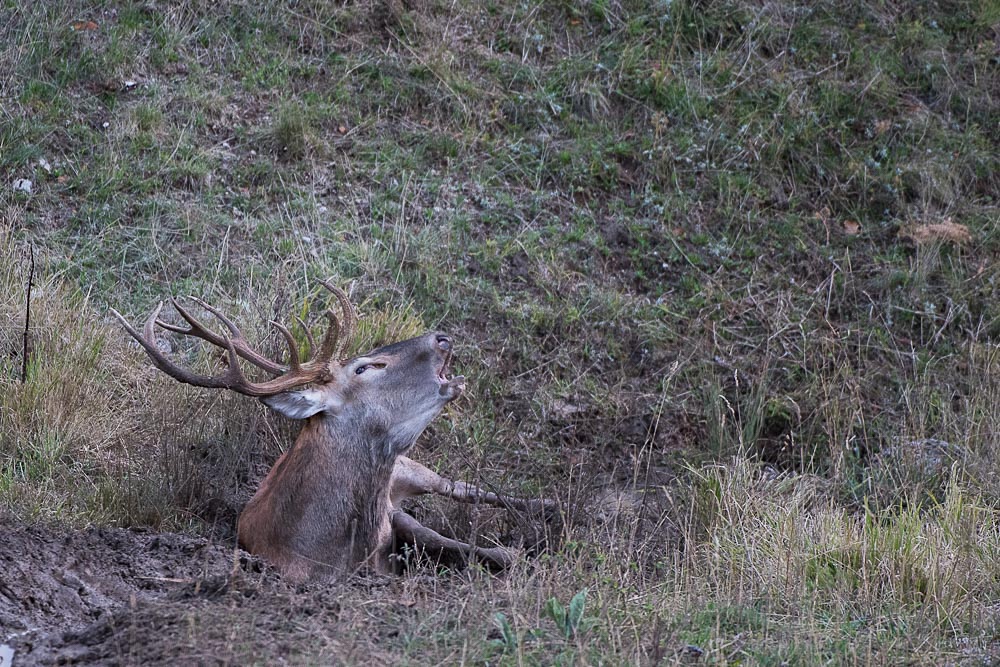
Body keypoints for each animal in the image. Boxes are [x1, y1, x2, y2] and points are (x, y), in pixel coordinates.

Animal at [111, 281, 554, 583]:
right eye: (364, 367)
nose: (442, 337)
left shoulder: (393, 517)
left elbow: (486, 551)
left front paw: (516, 550)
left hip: (414, 469)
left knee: (466, 488)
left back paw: (551, 506)